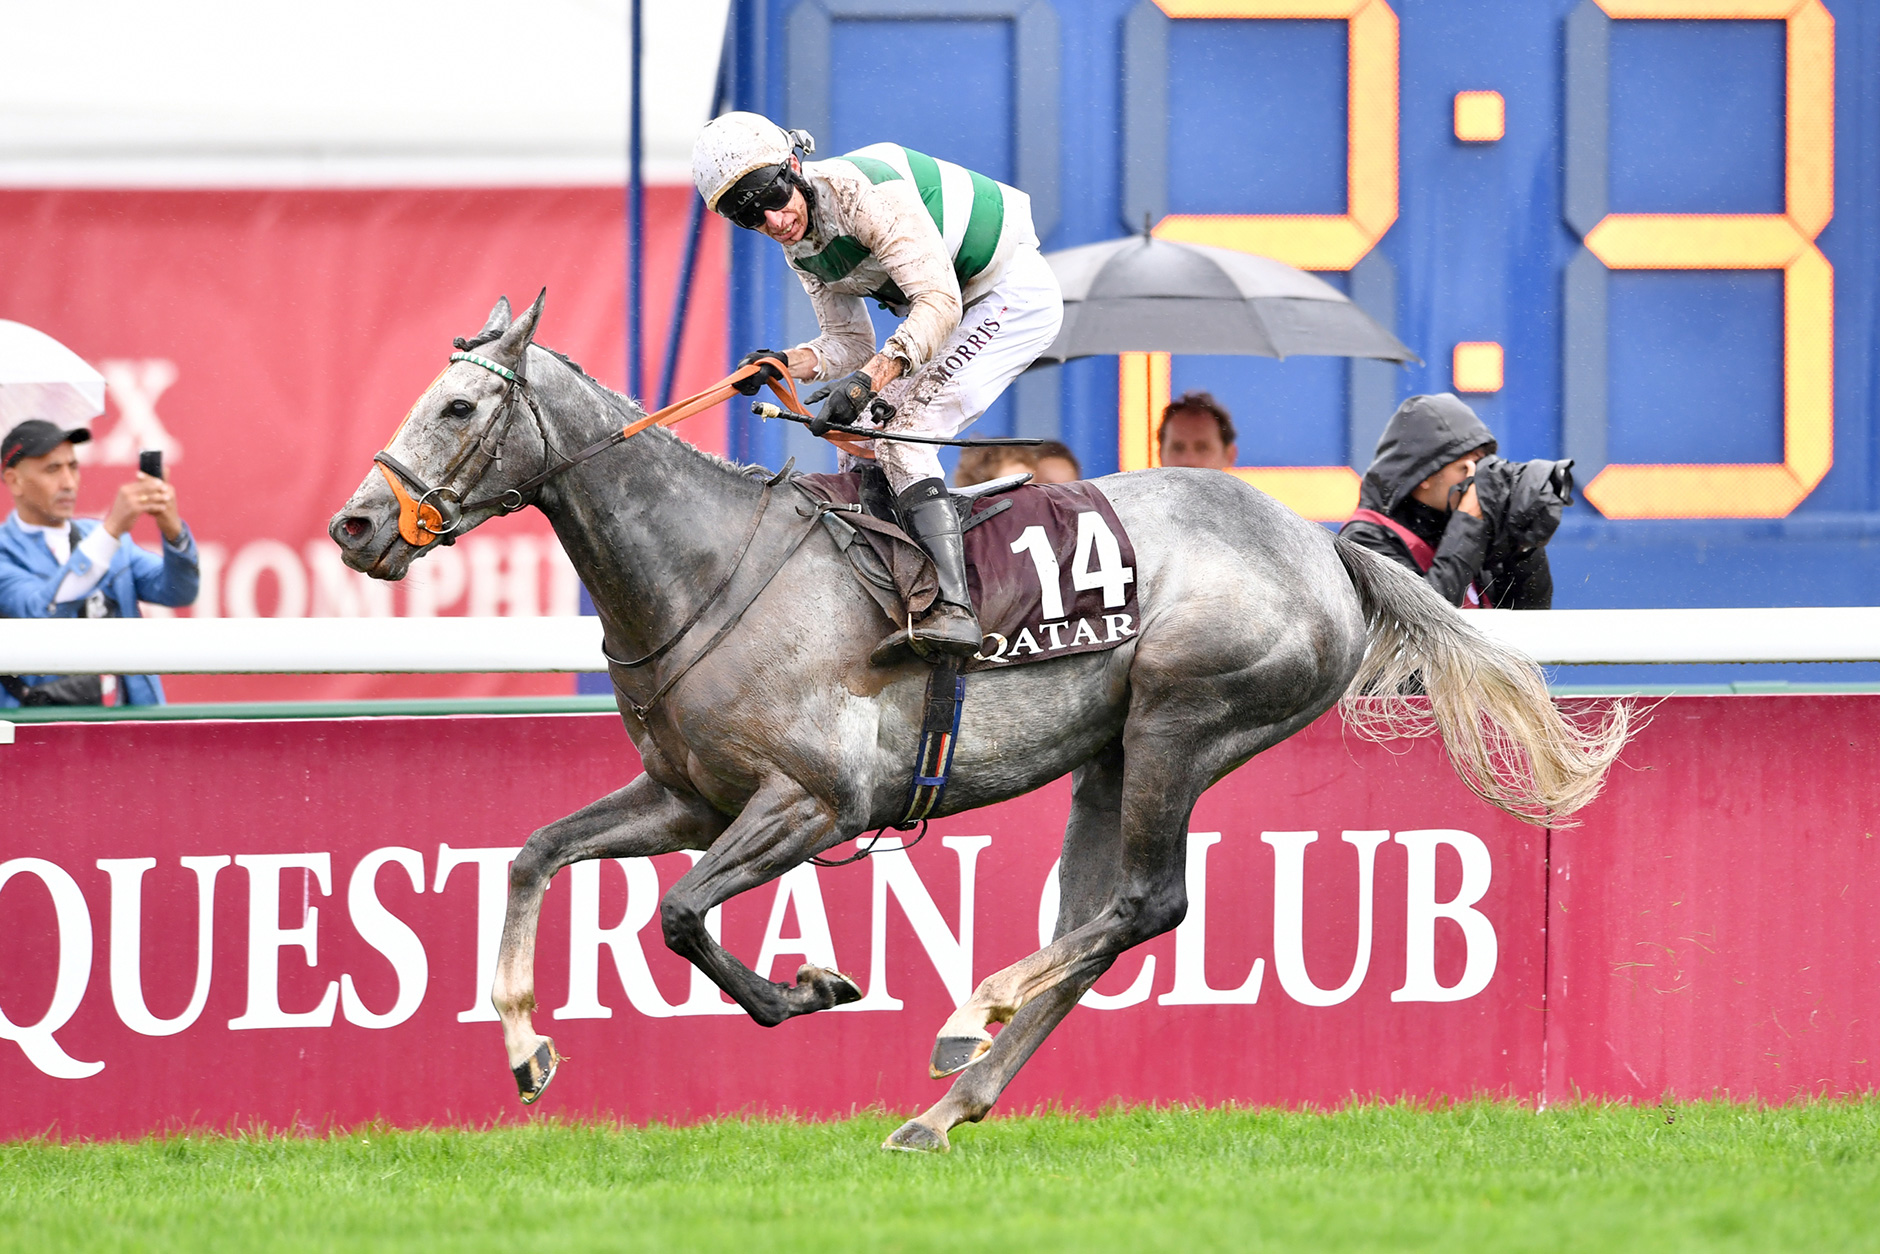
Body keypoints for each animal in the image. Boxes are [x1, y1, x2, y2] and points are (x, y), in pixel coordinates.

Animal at [330, 292, 1629, 1152]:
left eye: (457, 404)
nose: (355, 527)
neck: (702, 566)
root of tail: (1323, 546)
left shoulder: (814, 800)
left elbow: (683, 916)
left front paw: (812, 988)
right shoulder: (685, 796)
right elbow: (536, 853)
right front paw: (523, 1045)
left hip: (1181, 722)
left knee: (1148, 904)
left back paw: (972, 1008)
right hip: (1109, 756)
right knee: (1105, 917)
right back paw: (951, 1098)